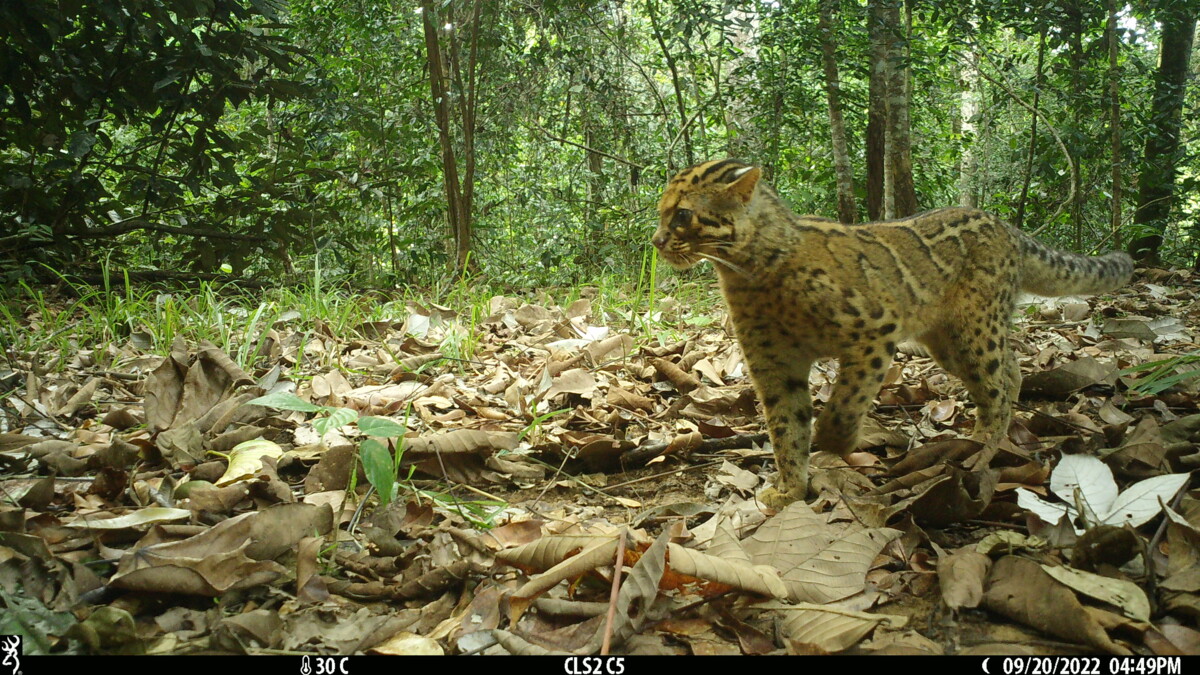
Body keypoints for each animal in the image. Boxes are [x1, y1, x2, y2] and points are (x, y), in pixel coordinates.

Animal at [657, 158, 1132, 504]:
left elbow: (844, 403)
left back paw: (982, 446)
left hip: (974, 327)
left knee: (997, 384)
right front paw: (789, 489)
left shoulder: (873, 330)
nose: (657, 241)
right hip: (950, 341)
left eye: (682, 215)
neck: (750, 270)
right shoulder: (772, 363)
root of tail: (1008, 228)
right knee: (1009, 371)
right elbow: (785, 426)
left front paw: (836, 440)